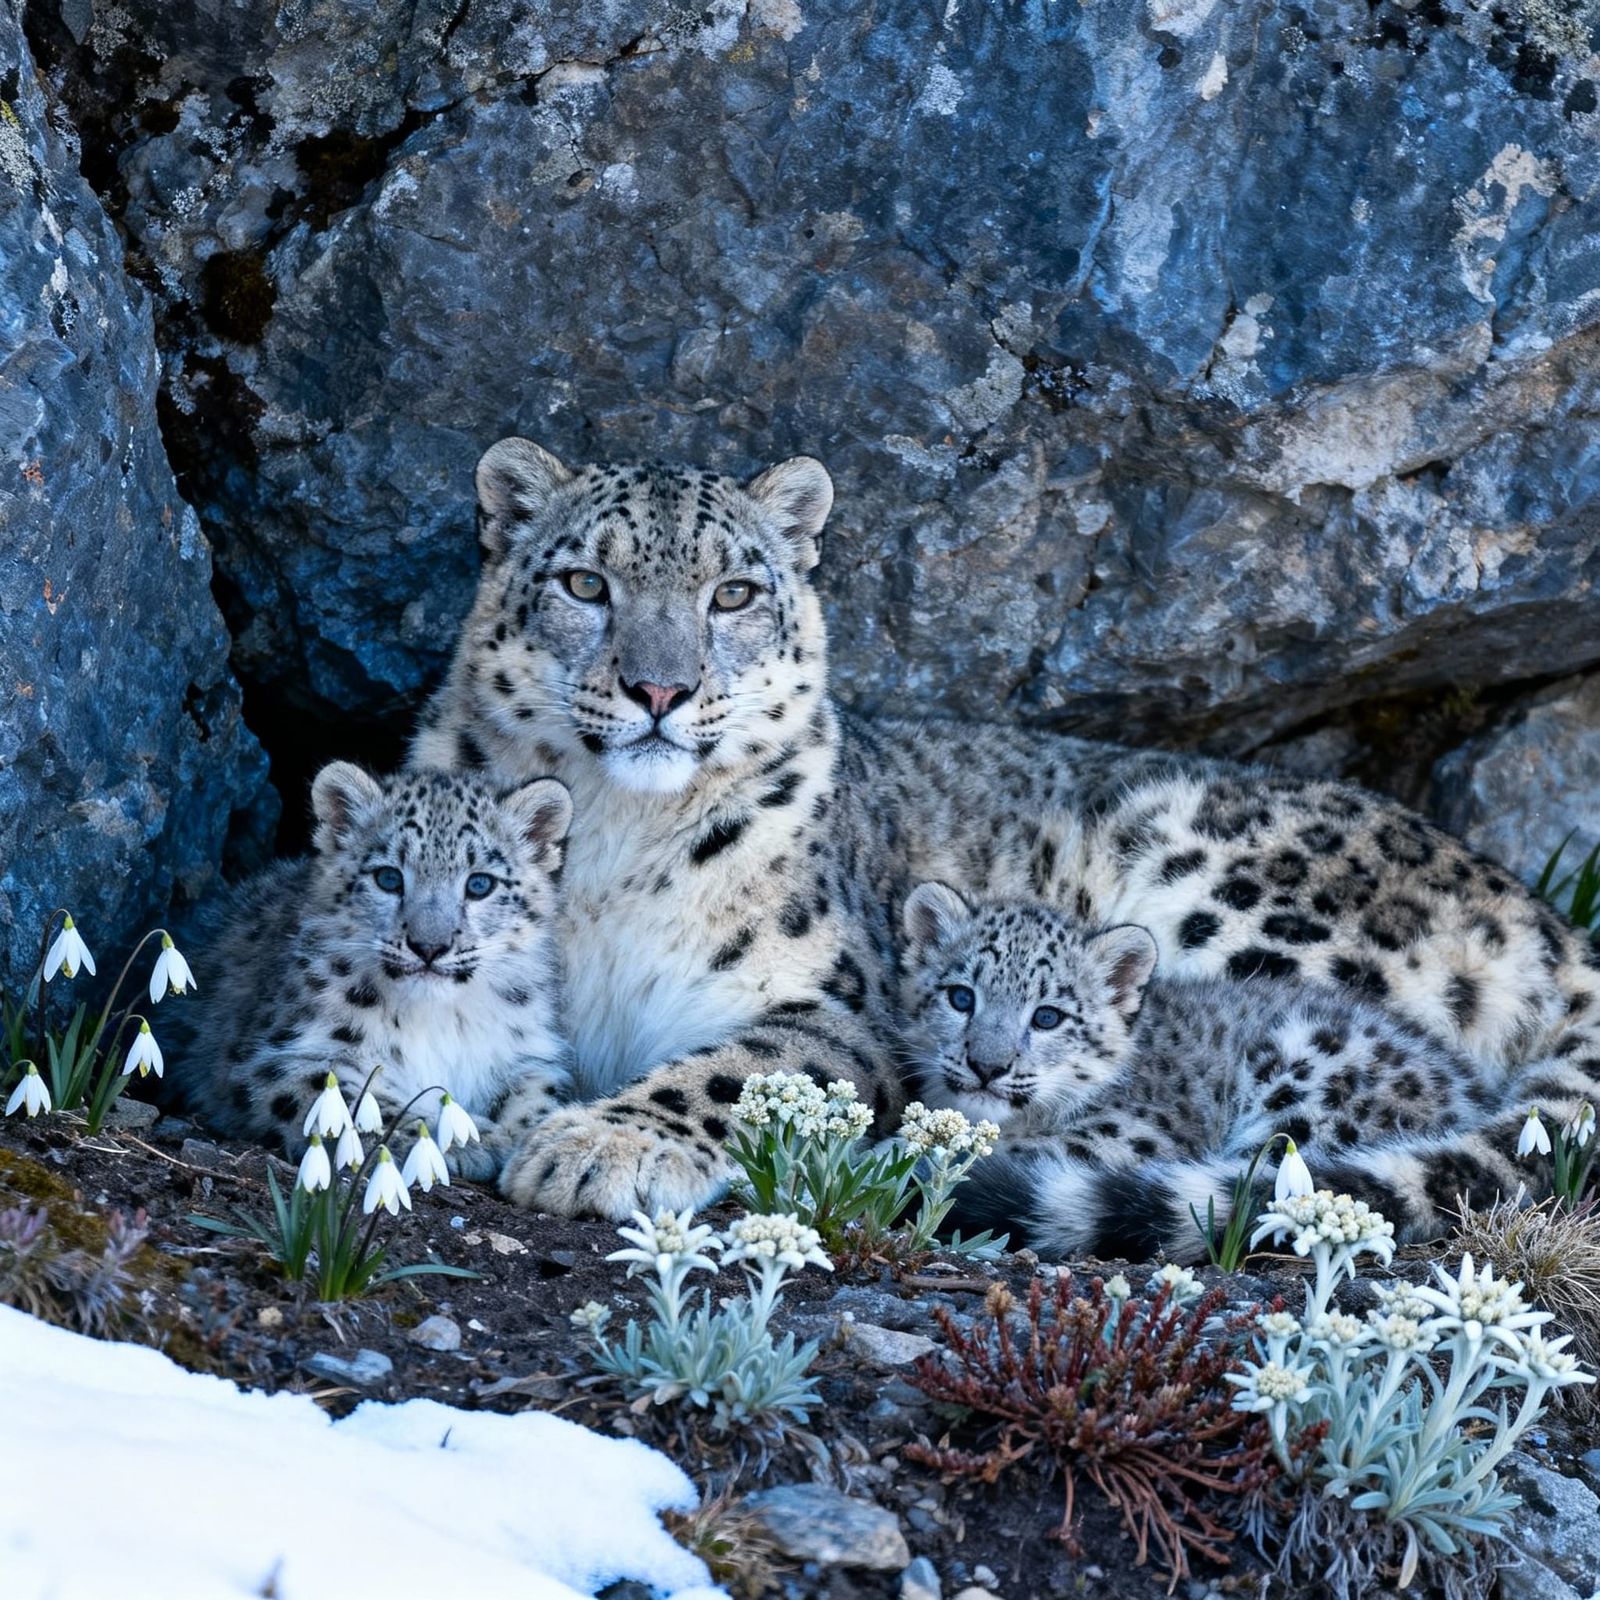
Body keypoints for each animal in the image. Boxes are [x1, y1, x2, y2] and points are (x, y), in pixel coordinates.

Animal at [174, 761, 574, 1178]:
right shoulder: (281, 1057)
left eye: (480, 883)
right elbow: (358, 1103)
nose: (429, 946)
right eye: (388, 878)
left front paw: (540, 1142)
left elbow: (538, 1097)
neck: (439, 1020)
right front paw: (464, 1140)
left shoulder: (528, 1054)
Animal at [409, 436, 1600, 1223]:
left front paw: (599, 1144)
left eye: (734, 592)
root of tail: (1542, 916)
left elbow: (734, 1068)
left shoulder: (837, 1010)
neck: (617, 840)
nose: (659, 687)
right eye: (584, 581)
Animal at [898, 883, 1548, 1262]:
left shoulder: (1133, 1136)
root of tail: (1471, 1099)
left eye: (1048, 1015)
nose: (987, 1065)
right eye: (961, 997)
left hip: (1304, 1086)